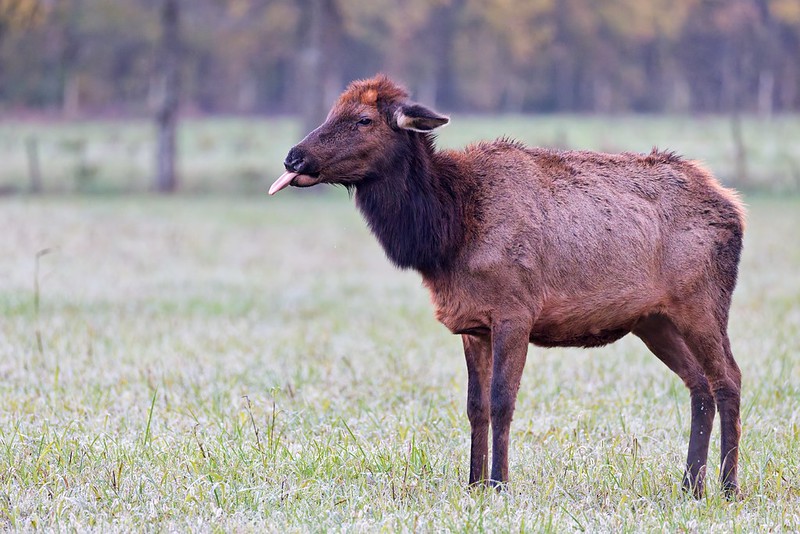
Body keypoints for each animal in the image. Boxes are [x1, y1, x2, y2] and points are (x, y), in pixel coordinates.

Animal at [269, 74, 745, 498]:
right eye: (332, 112)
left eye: (363, 119)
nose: (293, 158)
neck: (449, 230)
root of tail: (734, 207)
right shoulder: (473, 323)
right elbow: (474, 406)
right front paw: (473, 483)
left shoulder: (515, 311)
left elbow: (501, 401)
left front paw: (499, 483)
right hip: (654, 320)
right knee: (699, 384)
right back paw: (690, 485)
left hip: (702, 302)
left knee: (729, 379)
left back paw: (727, 487)